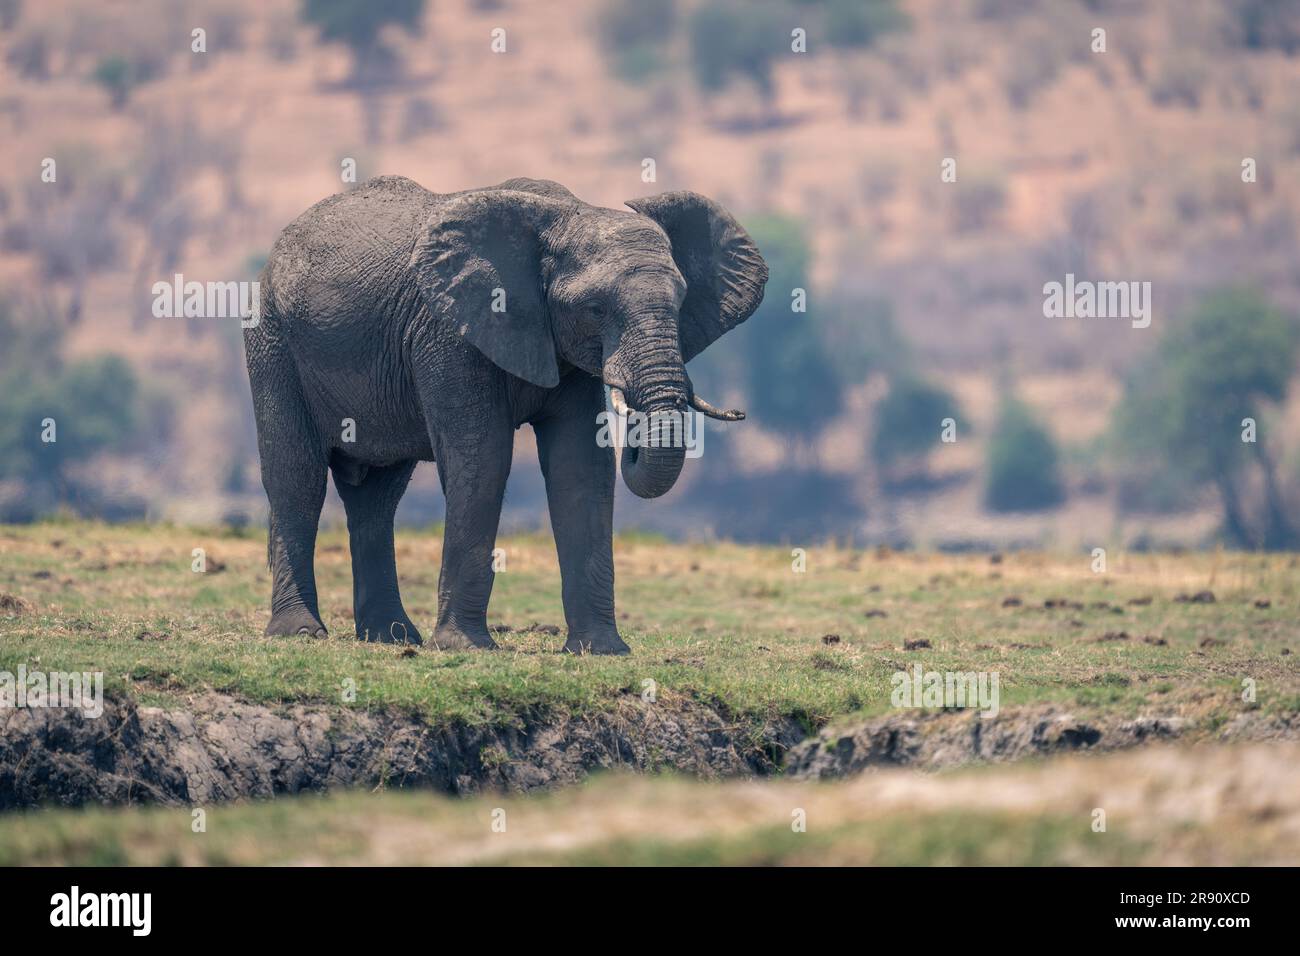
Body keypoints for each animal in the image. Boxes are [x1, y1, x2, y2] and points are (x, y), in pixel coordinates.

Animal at [244, 175, 768, 654]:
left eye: (680, 304)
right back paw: (301, 634)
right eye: (595, 308)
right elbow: (484, 458)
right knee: (297, 478)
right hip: (271, 341)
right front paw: (465, 647)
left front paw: (601, 651)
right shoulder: (449, 333)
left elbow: (581, 469)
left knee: (377, 496)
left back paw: (392, 637)